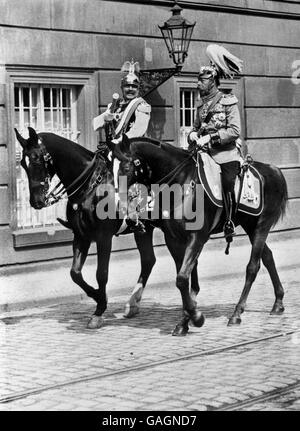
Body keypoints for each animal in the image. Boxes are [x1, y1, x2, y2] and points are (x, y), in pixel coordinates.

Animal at [15, 126, 200, 330]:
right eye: (23, 163)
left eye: (37, 158)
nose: (36, 201)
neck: (90, 186)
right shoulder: (81, 236)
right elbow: (75, 273)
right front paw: (97, 297)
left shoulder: (103, 237)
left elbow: (101, 274)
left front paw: (99, 308)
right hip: (145, 230)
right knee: (150, 260)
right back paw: (134, 303)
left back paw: (191, 300)